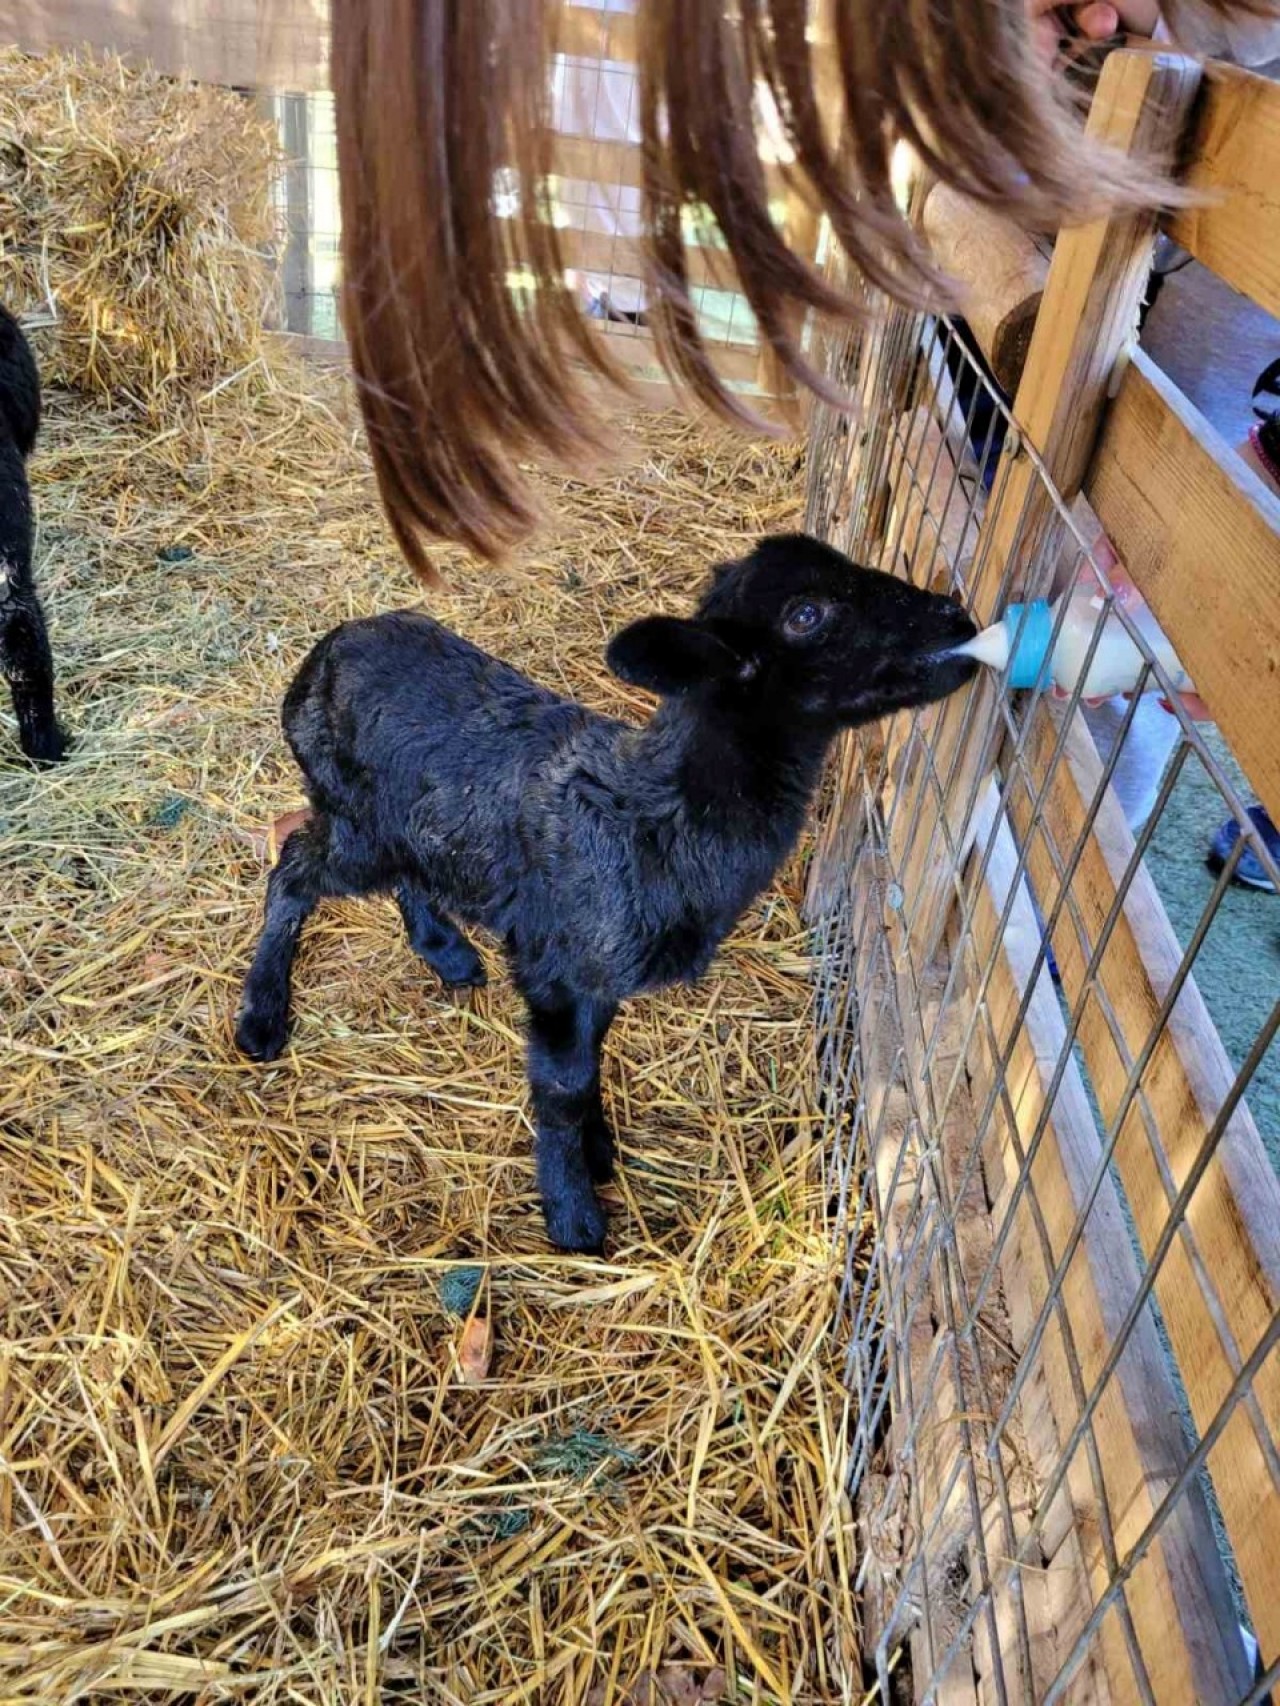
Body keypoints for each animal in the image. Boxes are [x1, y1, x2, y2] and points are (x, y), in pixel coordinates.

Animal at [235, 533, 977, 1251]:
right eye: (807, 615)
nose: (959, 618)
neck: (658, 814)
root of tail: (328, 648)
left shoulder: (599, 973)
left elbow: (592, 1060)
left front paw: (596, 1152)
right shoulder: (559, 970)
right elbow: (563, 1085)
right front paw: (573, 1217)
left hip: (404, 824)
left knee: (410, 874)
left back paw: (447, 952)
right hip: (356, 820)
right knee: (293, 867)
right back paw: (263, 1017)